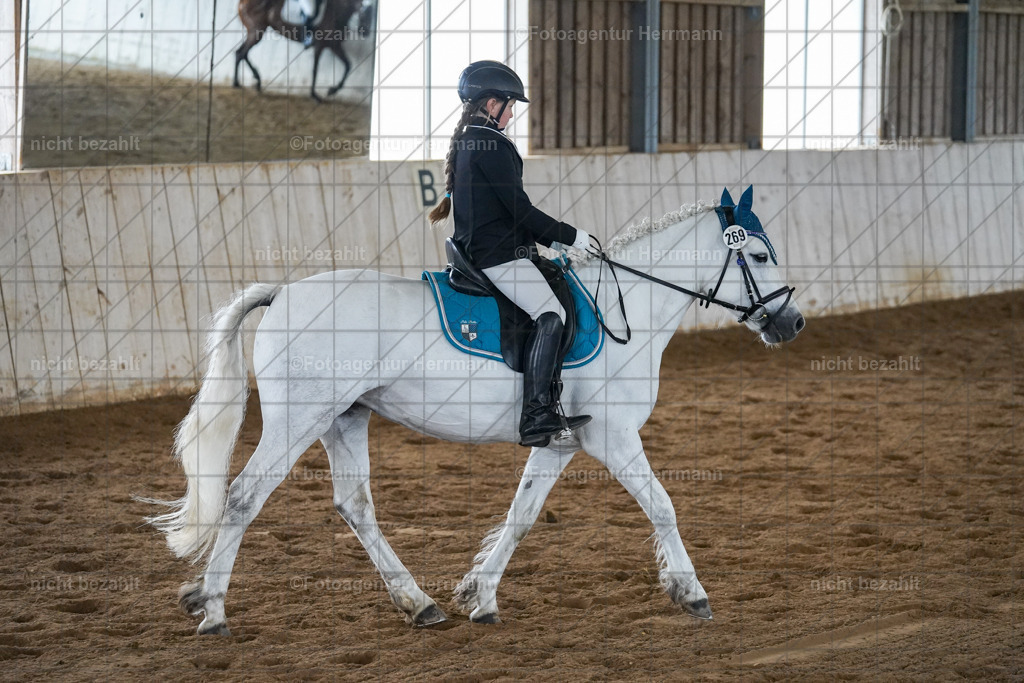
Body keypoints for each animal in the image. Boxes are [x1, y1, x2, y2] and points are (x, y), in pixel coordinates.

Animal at [144, 192, 805, 635]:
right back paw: (214, 611)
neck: (629, 308)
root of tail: (282, 293)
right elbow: (663, 505)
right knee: (242, 499)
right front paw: (691, 593)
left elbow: (521, 516)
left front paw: (479, 596)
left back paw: (419, 604)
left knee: (355, 505)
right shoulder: (614, 439)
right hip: (297, 420)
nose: (792, 323)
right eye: (760, 256)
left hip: (343, 418)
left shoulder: (562, 442)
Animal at [233, 0, 373, 102]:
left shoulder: (334, 46)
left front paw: (332, 90)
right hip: (256, 31)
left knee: (241, 53)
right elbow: (315, 69)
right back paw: (239, 83)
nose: (365, 32)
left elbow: (348, 65)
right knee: (241, 53)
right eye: (365, 12)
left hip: (256, 32)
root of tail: (243, 2)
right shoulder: (320, 46)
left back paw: (253, 82)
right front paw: (315, 95)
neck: (337, 11)